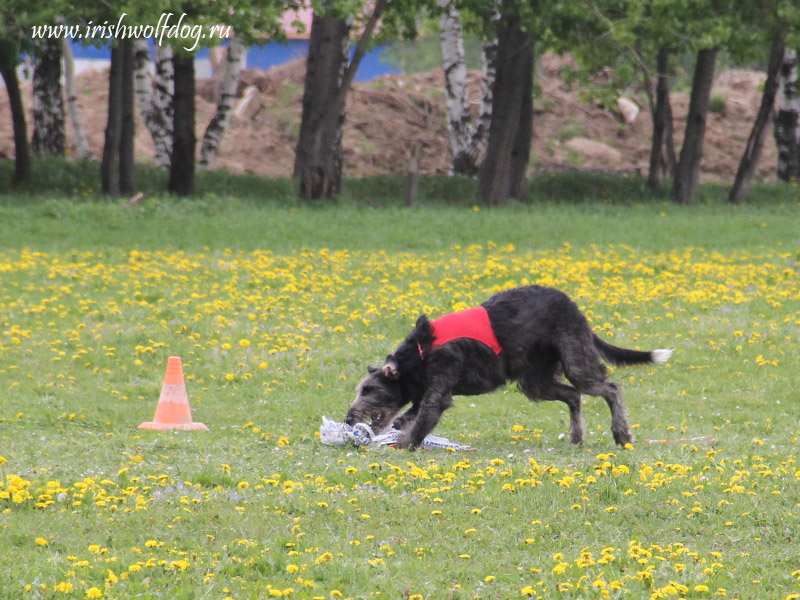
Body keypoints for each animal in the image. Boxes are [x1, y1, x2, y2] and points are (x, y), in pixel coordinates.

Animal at [346, 286, 672, 450]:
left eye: (369, 389)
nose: (349, 419)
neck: (418, 353)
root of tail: (575, 308)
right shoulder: (422, 392)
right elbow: (408, 416)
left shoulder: (440, 384)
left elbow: (423, 419)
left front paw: (401, 446)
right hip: (535, 380)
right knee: (572, 395)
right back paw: (576, 438)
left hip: (575, 360)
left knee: (610, 388)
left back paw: (621, 434)